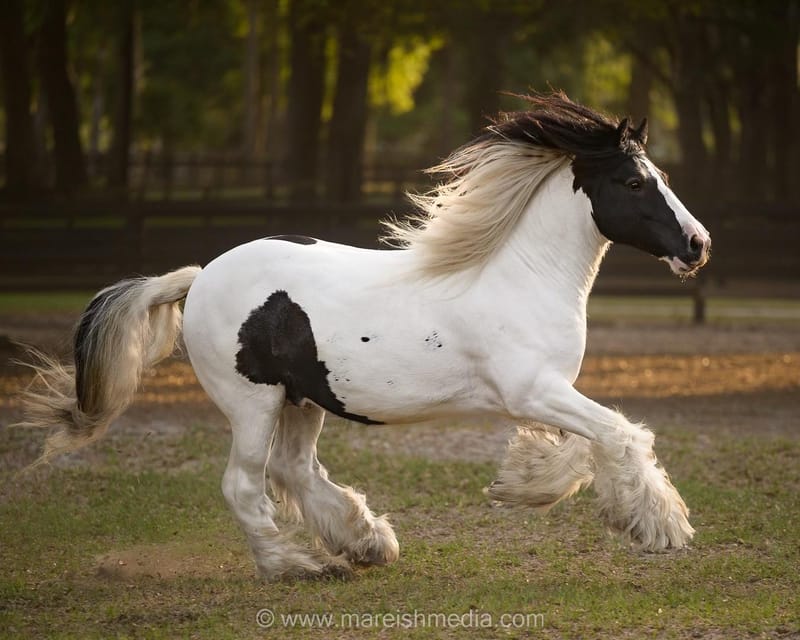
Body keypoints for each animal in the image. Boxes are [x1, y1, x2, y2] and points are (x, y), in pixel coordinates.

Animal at [18, 94, 708, 580]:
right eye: (635, 182)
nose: (698, 245)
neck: (521, 274)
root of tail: (200, 275)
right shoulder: (532, 390)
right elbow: (621, 434)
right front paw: (663, 527)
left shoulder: (546, 392)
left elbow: (587, 445)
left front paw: (522, 483)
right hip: (253, 401)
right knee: (245, 484)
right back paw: (296, 565)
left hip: (301, 400)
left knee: (294, 471)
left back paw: (367, 542)